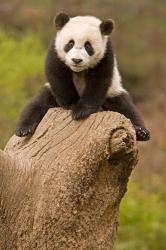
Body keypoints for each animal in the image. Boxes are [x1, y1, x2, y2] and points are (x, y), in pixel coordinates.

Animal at [15, 12, 150, 141]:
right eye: (70, 43)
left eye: (88, 46)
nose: (76, 60)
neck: (78, 71)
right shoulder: (55, 50)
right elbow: (57, 75)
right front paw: (72, 105)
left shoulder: (106, 54)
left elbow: (99, 82)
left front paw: (81, 111)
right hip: (50, 93)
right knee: (36, 105)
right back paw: (24, 129)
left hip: (112, 93)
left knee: (126, 108)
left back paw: (141, 132)